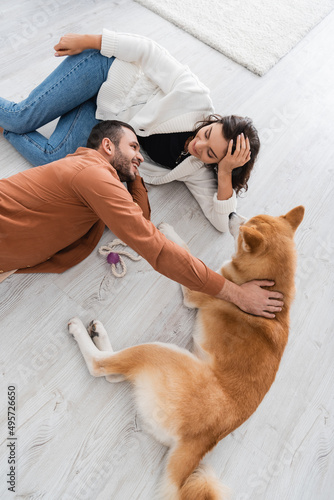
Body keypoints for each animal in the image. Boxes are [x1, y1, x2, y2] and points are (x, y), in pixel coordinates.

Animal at [68, 205, 306, 498]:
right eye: (247, 218)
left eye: (243, 227)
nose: (231, 213)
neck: (274, 285)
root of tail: (203, 439)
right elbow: (191, 259)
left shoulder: (195, 292)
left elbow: (188, 254)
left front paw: (168, 232)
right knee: (113, 373)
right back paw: (99, 333)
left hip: (160, 352)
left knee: (100, 366)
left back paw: (82, 332)